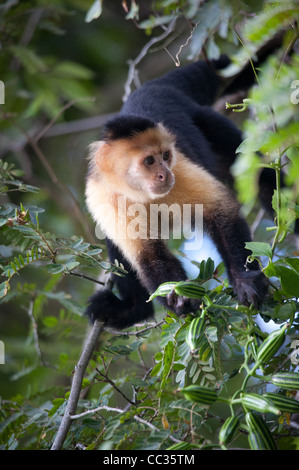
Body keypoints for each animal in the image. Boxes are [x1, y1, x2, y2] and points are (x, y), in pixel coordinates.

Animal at [84, 57, 270, 328]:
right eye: (149, 161)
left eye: (165, 156)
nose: (164, 175)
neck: (141, 193)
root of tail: (151, 87)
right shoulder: (104, 195)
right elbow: (147, 255)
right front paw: (178, 298)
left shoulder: (180, 169)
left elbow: (220, 210)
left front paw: (244, 279)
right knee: (115, 244)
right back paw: (132, 309)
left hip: (203, 118)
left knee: (258, 173)